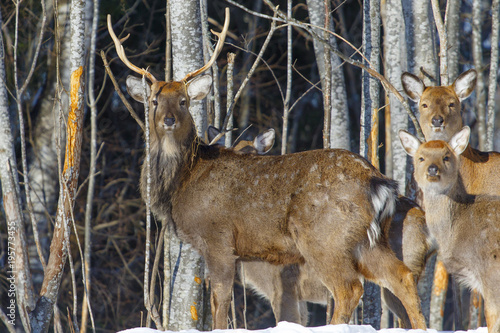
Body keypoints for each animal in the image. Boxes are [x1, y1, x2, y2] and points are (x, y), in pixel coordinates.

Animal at [108, 11, 426, 330]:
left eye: (183, 101)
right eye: (154, 101)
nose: (169, 120)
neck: (183, 181)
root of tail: (377, 182)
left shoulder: (218, 238)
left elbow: (220, 302)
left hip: (324, 237)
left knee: (349, 288)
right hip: (367, 240)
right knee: (401, 276)